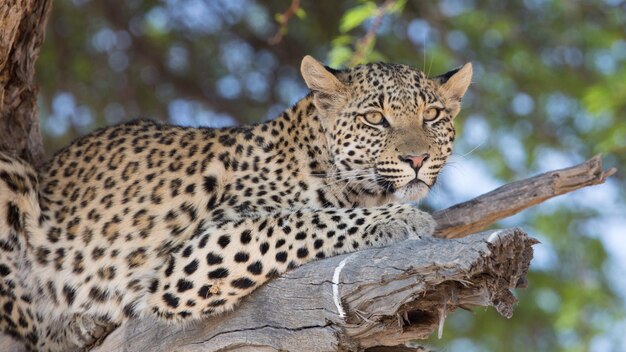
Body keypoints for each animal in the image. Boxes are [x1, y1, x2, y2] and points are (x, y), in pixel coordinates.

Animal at [0, 56, 468, 350]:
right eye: (375, 119)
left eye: (432, 115)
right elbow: (304, 219)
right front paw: (401, 219)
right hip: (11, 173)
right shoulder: (192, 256)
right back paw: (72, 324)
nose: (417, 159)